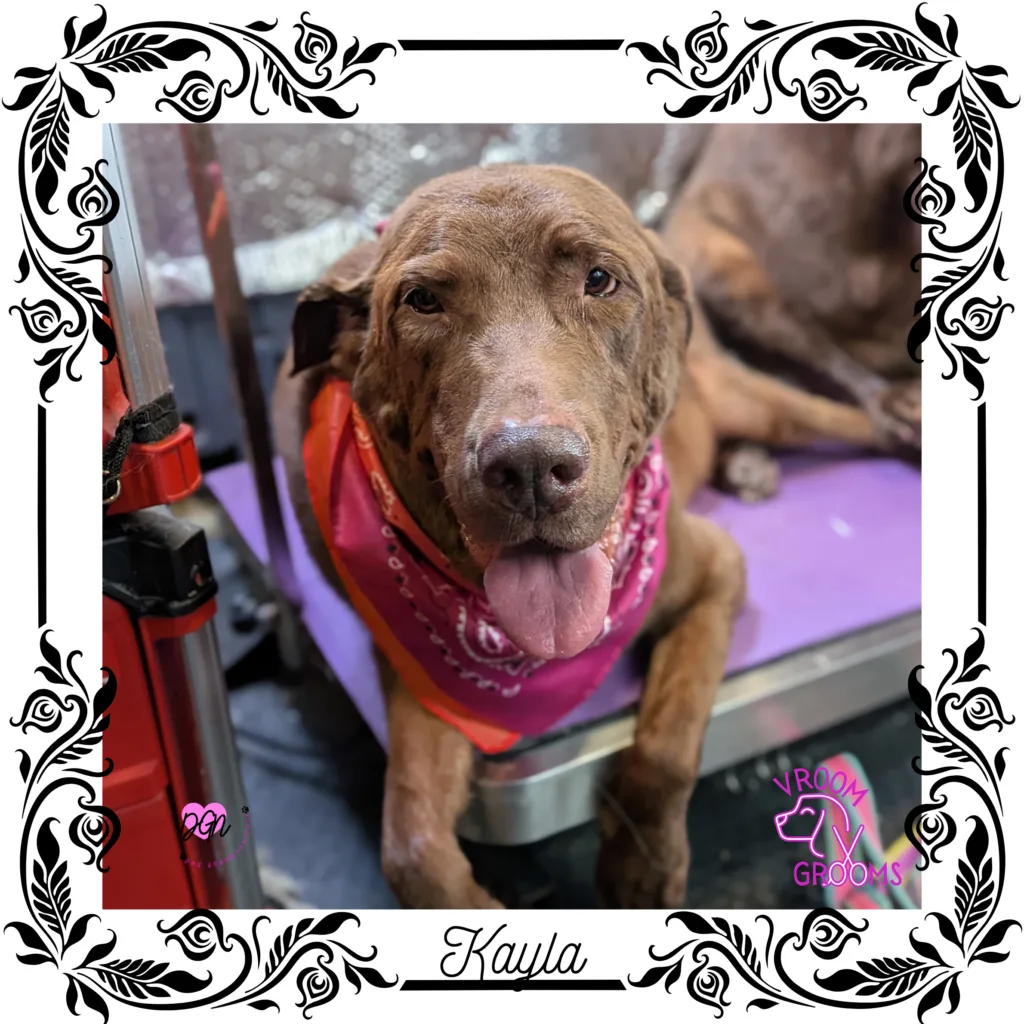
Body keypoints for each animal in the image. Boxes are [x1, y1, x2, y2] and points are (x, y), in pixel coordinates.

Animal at [272, 163, 895, 909]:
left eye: (599, 279)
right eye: (422, 301)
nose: (531, 466)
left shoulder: (716, 572)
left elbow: (668, 740)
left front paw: (644, 867)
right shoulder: (416, 675)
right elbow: (412, 843)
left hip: (752, 399)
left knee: (852, 418)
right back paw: (748, 466)